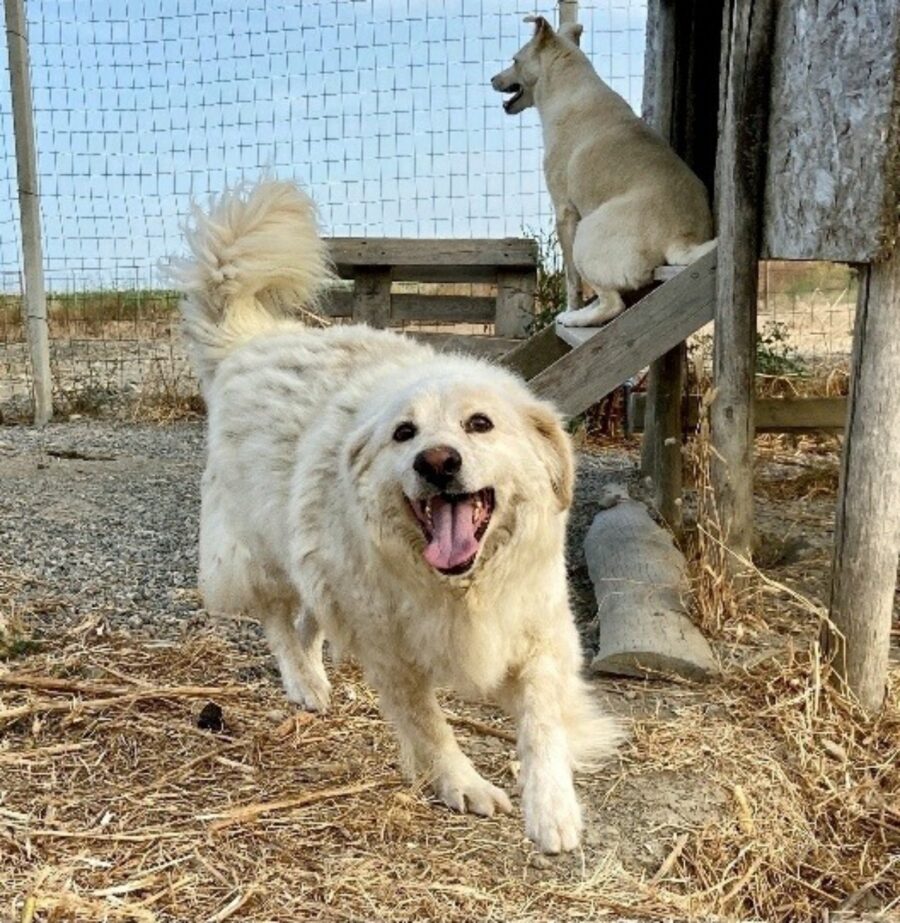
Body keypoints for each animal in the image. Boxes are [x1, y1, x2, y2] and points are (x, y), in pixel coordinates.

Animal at [169, 180, 624, 852]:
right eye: (404, 433)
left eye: (480, 423)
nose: (436, 461)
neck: (461, 587)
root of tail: (251, 342)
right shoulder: (393, 652)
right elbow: (429, 726)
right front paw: (463, 783)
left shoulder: (538, 629)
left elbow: (542, 718)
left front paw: (552, 807)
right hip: (258, 552)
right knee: (277, 618)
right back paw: (304, 683)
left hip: (317, 561)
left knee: (309, 619)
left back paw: (316, 670)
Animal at [488, 15, 712, 328]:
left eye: (515, 60)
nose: (492, 79)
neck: (566, 87)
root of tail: (682, 238)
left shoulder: (565, 212)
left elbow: (571, 279)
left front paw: (570, 308)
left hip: (585, 236)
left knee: (612, 304)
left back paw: (575, 318)